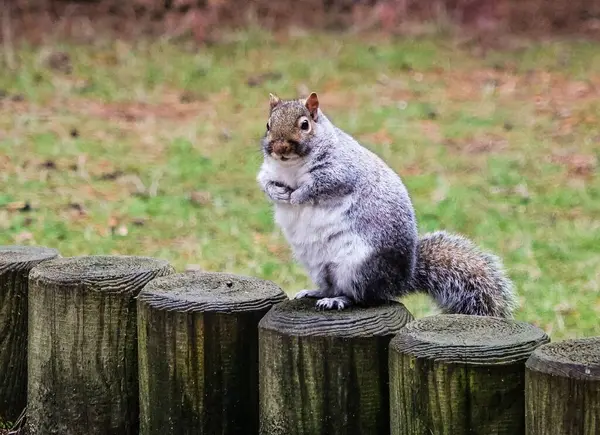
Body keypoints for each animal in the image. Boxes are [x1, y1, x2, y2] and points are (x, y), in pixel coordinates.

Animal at [256, 92, 516, 316]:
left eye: (305, 125)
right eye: (268, 124)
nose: (280, 148)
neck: (291, 167)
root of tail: (399, 281)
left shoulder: (341, 171)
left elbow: (321, 186)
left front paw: (297, 197)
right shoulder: (269, 170)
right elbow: (264, 182)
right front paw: (278, 193)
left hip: (357, 267)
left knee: (362, 296)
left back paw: (338, 300)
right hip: (319, 267)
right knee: (332, 286)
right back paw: (317, 292)